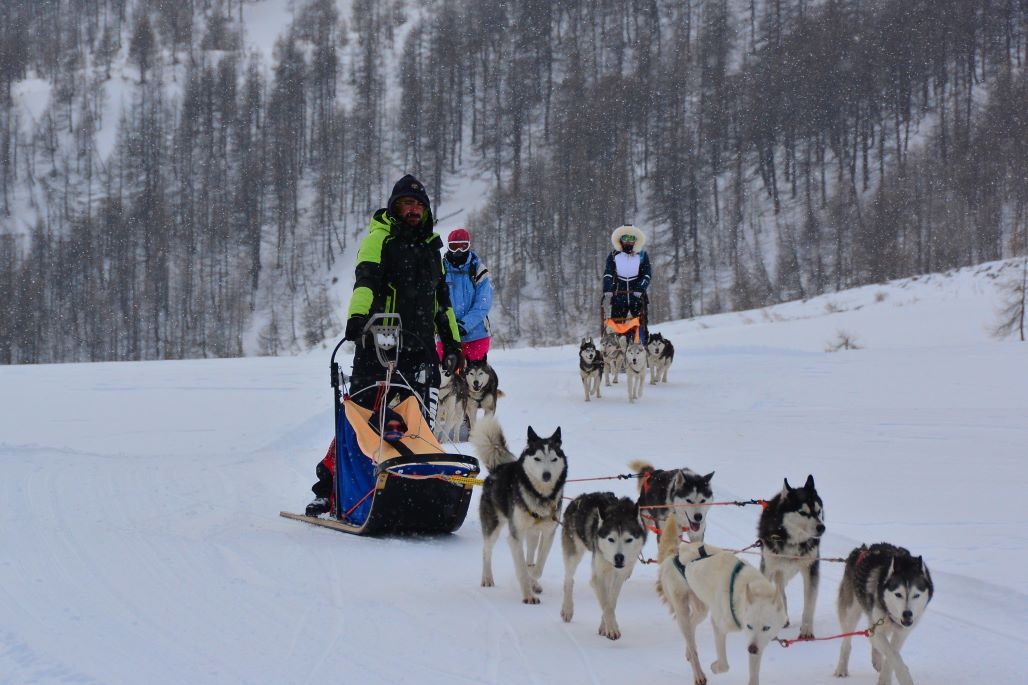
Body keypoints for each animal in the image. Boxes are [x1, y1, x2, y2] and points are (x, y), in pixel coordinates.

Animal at [470, 413, 567, 600]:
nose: (546, 475)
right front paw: (528, 595)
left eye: (553, 458)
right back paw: (487, 578)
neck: (540, 495)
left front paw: (533, 580)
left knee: (530, 556)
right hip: (493, 525)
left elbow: (539, 563)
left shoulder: (548, 533)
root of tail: (497, 469)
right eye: (537, 458)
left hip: (533, 534)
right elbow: (521, 567)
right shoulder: (515, 536)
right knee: (486, 551)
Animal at [559, 493, 645, 637]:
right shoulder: (598, 577)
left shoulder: (619, 577)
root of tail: (578, 498)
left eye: (629, 539)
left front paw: (604, 626)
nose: (619, 557)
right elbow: (606, 604)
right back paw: (567, 609)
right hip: (573, 554)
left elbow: (611, 602)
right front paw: (611, 628)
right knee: (568, 580)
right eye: (611, 539)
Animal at [657, 518, 785, 682]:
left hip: (701, 609)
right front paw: (715, 667)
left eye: (766, 628)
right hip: (682, 609)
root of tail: (673, 556)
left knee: (692, 628)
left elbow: (754, 675)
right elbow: (724, 665)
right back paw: (698, 674)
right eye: (749, 625)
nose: (752, 649)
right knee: (690, 640)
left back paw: (689, 651)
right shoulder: (719, 625)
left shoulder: (758, 642)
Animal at [756, 473, 826, 637]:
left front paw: (806, 630)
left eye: (819, 510)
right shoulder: (769, 567)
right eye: (803, 512)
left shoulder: (811, 568)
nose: (822, 527)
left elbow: (809, 604)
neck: (793, 541)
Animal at [834, 543, 933, 678]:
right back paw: (841, 669)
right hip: (851, 613)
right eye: (898, 594)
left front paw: (885, 677)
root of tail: (861, 549)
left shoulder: (901, 633)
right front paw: (904, 675)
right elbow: (892, 655)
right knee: (847, 642)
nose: (907, 614)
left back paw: (876, 659)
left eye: (916, 595)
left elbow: (892, 654)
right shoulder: (879, 629)